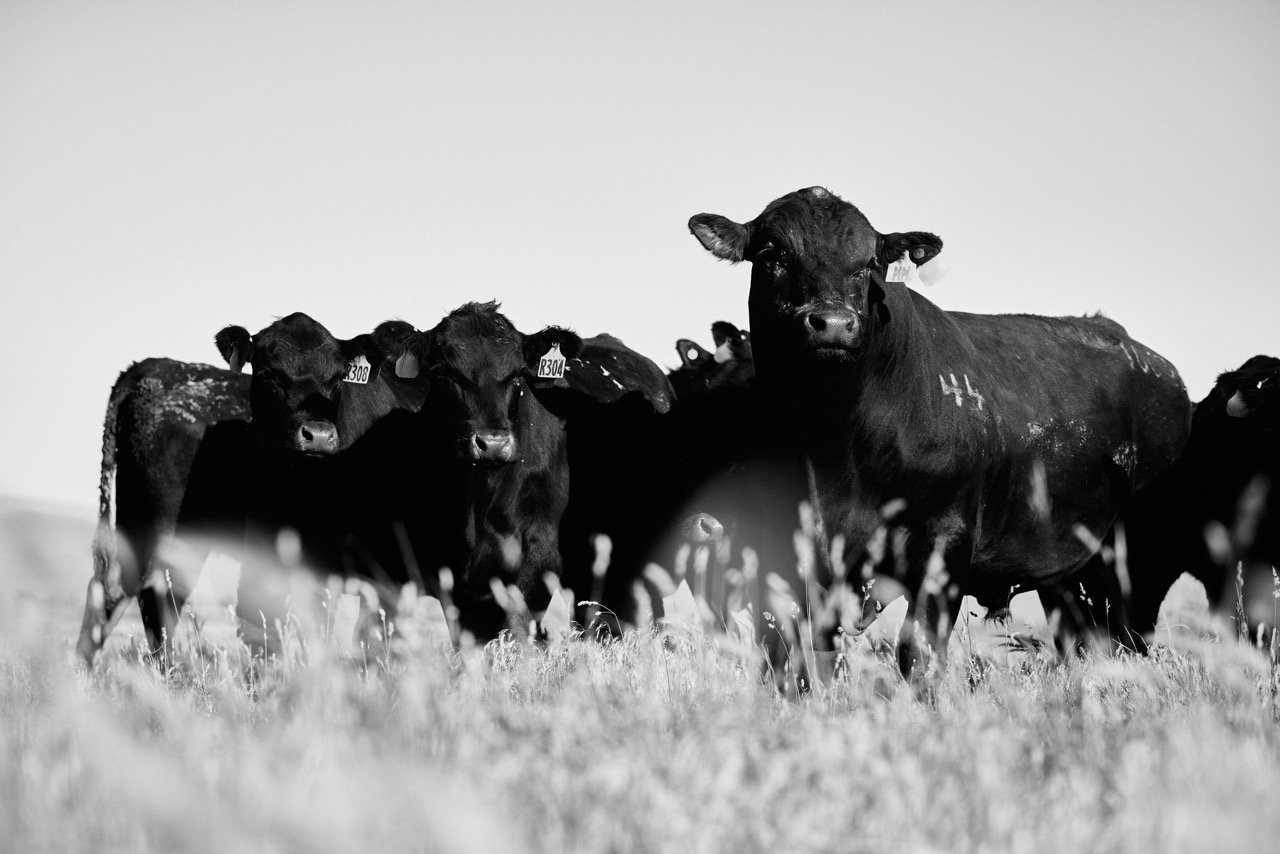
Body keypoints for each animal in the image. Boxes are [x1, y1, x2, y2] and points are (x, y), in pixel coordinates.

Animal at [688, 186, 1191, 651]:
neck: (832, 445)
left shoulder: (945, 542)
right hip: (1067, 572)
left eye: (869, 263)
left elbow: (919, 650)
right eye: (773, 255)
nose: (832, 323)